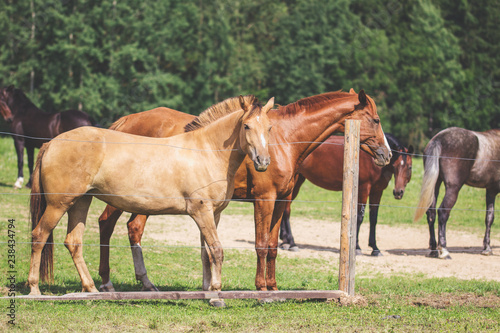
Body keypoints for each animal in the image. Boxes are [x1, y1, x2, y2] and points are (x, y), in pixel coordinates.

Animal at [28, 95, 274, 306]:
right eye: (246, 126)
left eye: (269, 127)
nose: (263, 161)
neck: (206, 152)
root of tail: (50, 144)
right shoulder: (201, 212)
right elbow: (217, 251)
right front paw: (216, 295)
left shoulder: (214, 214)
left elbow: (206, 253)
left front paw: (208, 292)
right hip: (58, 205)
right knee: (39, 236)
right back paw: (34, 290)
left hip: (80, 202)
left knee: (74, 242)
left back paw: (91, 290)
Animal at [94, 89, 390, 292]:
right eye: (376, 120)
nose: (387, 154)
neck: (284, 138)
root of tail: (126, 121)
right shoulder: (264, 199)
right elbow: (260, 244)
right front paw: (260, 287)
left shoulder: (281, 201)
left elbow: (273, 246)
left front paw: (273, 286)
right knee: (108, 223)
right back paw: (108, 282)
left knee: (132, 228)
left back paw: (143, 283)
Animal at [278, 132, 414, 254]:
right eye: (395, 166)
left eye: (409, 167)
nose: (398, 192)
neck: (372, 159)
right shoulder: (363, 189)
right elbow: (359, 218)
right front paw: (357, 247)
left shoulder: (377, 191)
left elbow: (373, 219)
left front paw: (375, 248)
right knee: (286, 211)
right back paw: (291, 243)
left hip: (298, 181)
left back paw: (284, 241)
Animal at [414, 126, 500, 258]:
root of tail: (438, 139)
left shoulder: (491, 191)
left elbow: (489, 218)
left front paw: (487, 248)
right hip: (453, 189)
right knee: (443, 212)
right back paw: (444, 250)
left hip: (435, 184)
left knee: (431, 213)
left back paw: (434, 249)